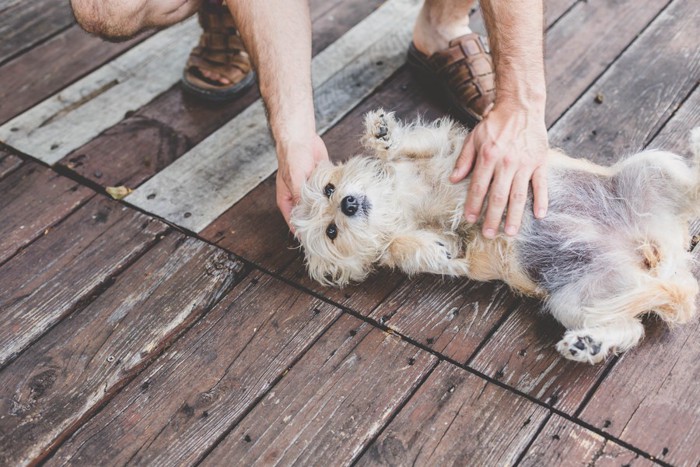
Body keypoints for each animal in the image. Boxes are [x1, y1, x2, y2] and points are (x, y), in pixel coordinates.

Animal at [290, 110, 700, 366]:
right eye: (331, 232)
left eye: (328, 188)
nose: (348, 203)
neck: (403, 200)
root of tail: (653, 258)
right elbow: (401, 246)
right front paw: (437, 245)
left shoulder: (453, 148)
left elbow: (418, 142)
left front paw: (383, 135)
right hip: (577, 300)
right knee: (630, 329)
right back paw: (589, 343)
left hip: (649, 169)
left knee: (692, 188)